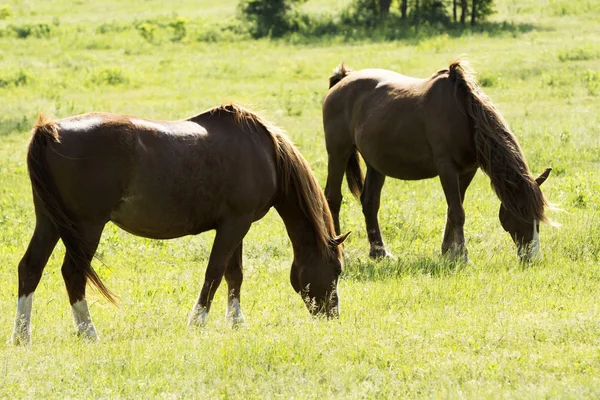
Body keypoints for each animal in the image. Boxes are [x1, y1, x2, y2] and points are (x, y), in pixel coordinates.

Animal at [11, 103, 350, 344]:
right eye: (337, 269)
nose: (333, 315)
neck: (266, 153)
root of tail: (49, 130)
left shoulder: (236, 226)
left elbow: (234, 274)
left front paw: (236, 322)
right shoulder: (235, 225)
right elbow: (215, 273)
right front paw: (197, 322)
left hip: (49, 222)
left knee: (30, 268)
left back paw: (21, 336)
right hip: (86, 227)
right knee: (73, 273)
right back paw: (89, 332)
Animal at [324, 58, 552, 262]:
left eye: (537, 219)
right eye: (521, 215)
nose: (533, 258)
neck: (465, 115)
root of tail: (343, 80)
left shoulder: (467, 170)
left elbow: (454, 209)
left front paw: (448, 252)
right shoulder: (446, 168)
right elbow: (458, 212)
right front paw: (462, 256)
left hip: (375, 163)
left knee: (370, 201)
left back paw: (380, 252)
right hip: (338, 152)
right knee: (333, 199)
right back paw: (341, 252)